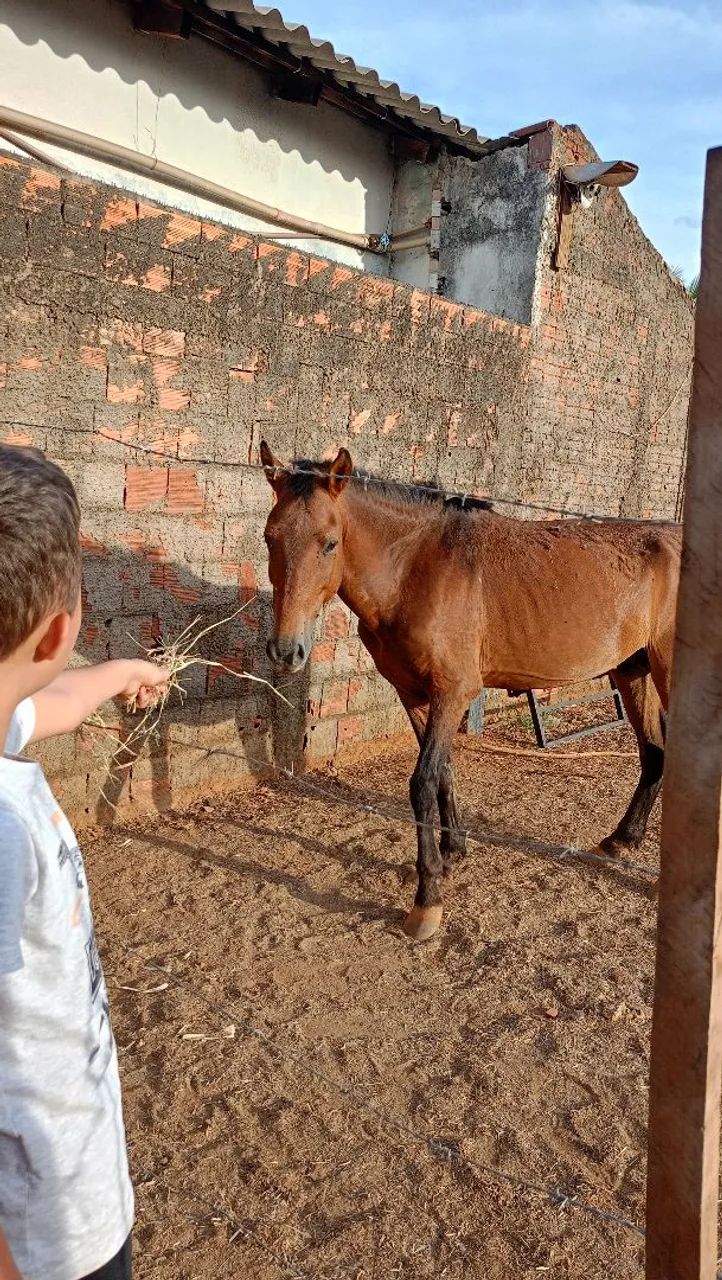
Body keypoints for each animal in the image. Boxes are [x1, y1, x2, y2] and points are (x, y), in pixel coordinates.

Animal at [260, 442, 681, 941]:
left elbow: (422, 782)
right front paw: (453, 850)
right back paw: (620, 841)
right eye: (269, 538)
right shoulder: (416, 695)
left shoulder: (454, 691)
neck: (416, 570)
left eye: (329, 542)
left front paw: (427, 902)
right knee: (654, 753)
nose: (287, 650)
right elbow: (443, 771)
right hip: (632, 672)